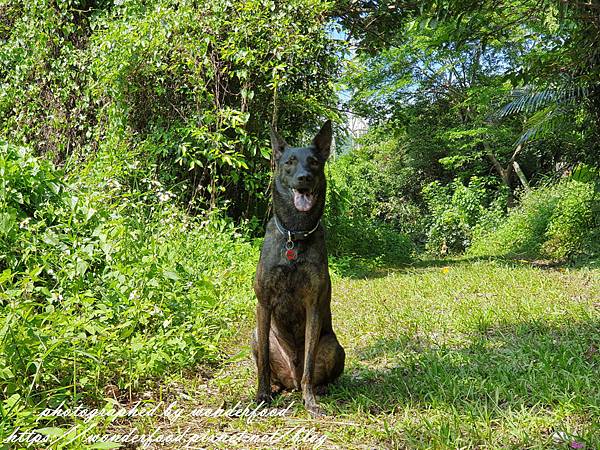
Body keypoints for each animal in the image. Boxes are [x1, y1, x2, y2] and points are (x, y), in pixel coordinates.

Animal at [251, 120, 344, 418]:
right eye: (290, 162)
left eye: (314, 162)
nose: (304, 177)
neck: (295, 233)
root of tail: (289, 380)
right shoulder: (264, 303)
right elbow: (263, 363)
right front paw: (261, 396)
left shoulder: (313, 305)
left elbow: (309, 366)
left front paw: (310, 401)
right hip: (256, 336)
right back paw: (275, 388)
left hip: (334, 346)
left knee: (314, 372)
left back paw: (318, 389)